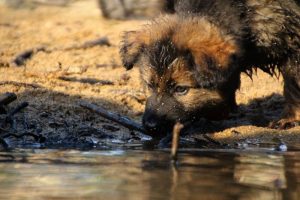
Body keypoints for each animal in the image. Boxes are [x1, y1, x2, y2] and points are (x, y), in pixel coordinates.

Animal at [120, 0, 300, 138]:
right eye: (150, 85)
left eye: (181, 89)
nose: (151, 126)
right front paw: (221, 110)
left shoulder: (294, 43)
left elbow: (293, 86)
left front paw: (290, 118)